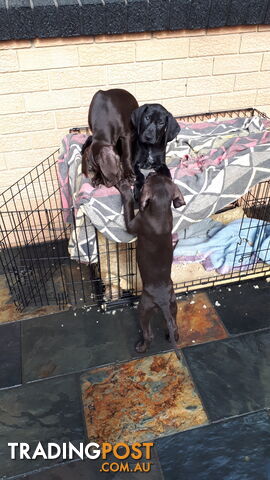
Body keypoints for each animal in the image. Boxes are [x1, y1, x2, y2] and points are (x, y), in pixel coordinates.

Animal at [117, 173, 187, 360]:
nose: (150, 173)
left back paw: (142, 347)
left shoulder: (134, 224)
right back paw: (172, 335)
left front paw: (125, 189)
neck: (160, 210)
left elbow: (128, 206)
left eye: (149, 179)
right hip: (173, 303)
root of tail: (162, 301)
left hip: (144, 307)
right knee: (174, 325)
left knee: (149, 334)